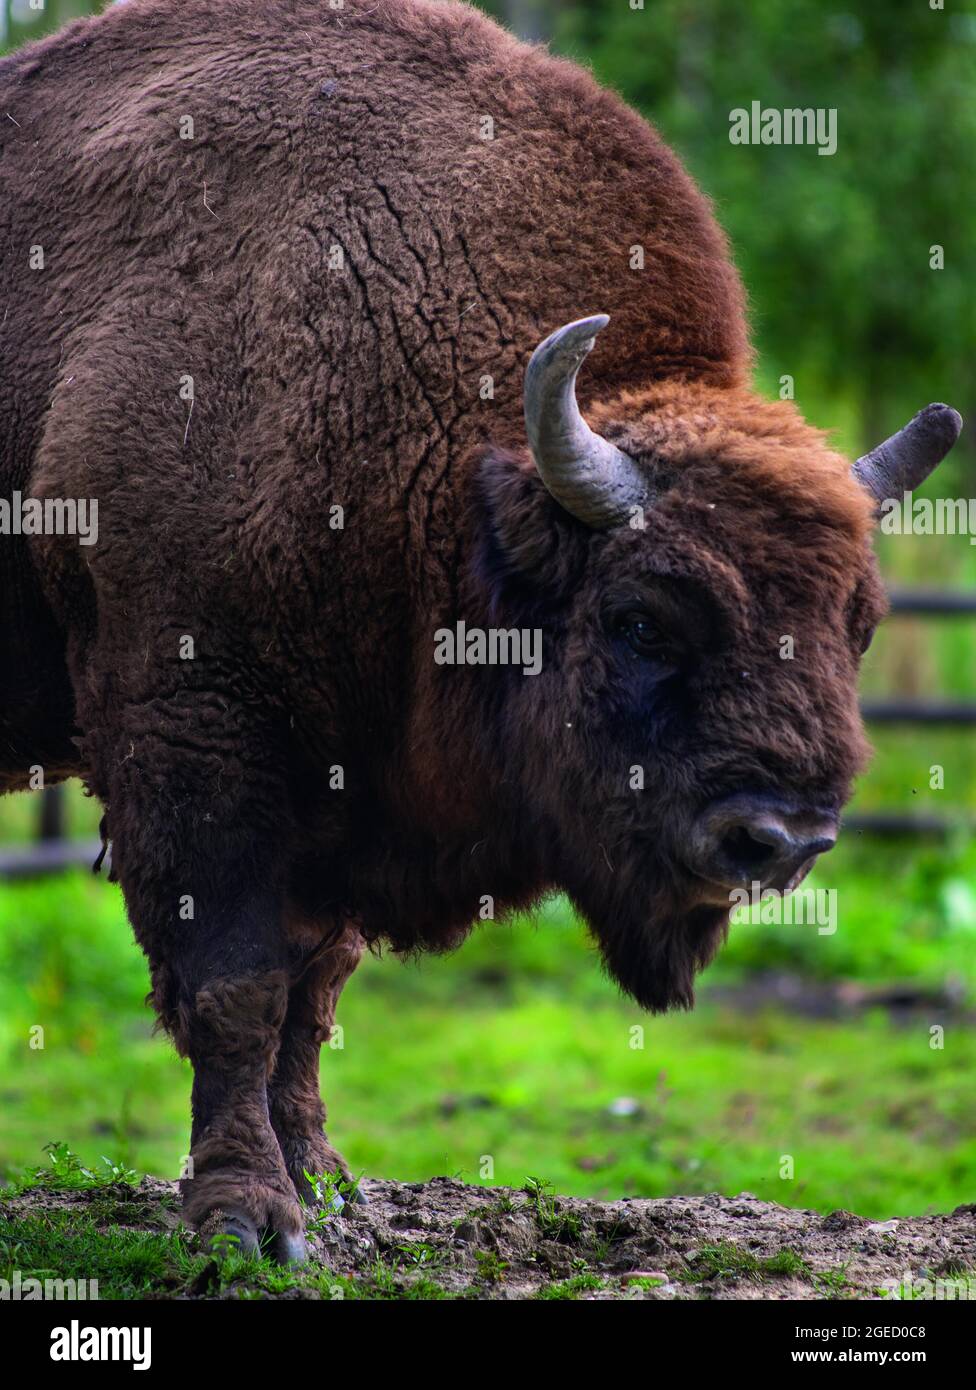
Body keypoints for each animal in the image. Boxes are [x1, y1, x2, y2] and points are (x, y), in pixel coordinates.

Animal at [0, 0, 962, 1262]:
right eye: (639, 616)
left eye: (858, 623)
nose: (782, 837)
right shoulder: (195, 739)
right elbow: (237, 988)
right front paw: (249, 1218)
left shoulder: (341, 796)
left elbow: (313, 992)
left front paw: (329, 1187)